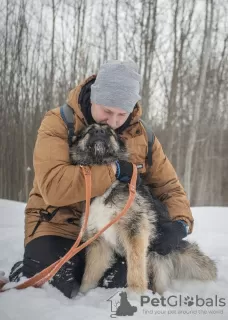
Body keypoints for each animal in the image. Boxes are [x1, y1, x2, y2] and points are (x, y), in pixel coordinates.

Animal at [70, 123, 217, 296]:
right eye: (90, 130)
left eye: (109, 132)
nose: (99, 131)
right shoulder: (99, 242)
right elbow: (90, 275)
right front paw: (82, 295)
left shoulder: (135, 230)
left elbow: (136, 266)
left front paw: (135, 293)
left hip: (157, 260)